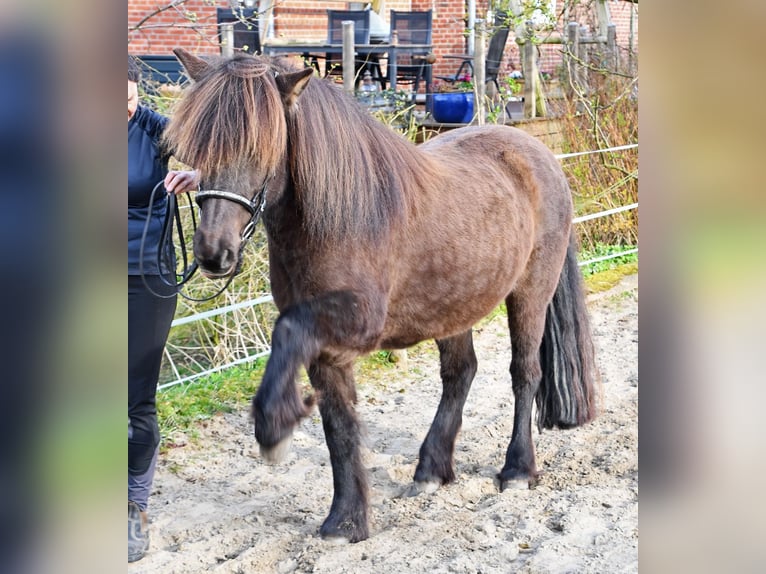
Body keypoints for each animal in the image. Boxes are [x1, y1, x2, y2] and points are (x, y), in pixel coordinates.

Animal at [165, 48, 598, 543]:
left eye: (264, 148)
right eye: (196, 149)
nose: (213, 253)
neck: (340, 220)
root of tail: (540, 154)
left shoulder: (354, 324)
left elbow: (287, 334)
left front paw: (275, 427)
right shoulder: (324, 348)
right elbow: (339, 424)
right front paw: (346, 519)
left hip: (530, 292)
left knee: (525, 373)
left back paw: (518, 469)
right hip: (455, 303)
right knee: (460, 373)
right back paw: (431, 469)